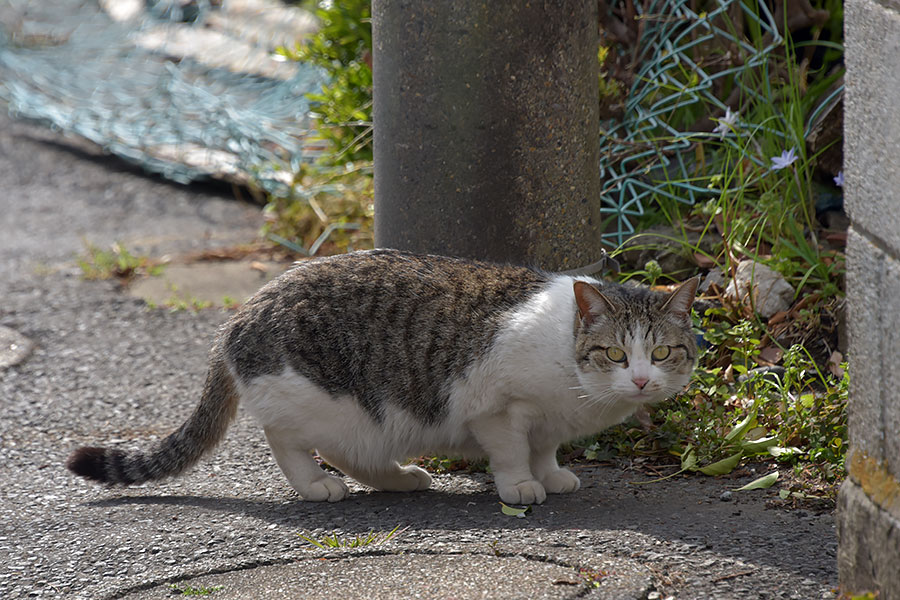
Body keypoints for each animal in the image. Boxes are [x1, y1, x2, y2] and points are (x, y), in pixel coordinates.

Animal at [68, 248, 704, 506]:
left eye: (662, 353)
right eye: (616, 354)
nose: (641, 382)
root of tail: (242, 313)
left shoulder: (548, 422)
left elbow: (545, 448)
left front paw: (552, 475)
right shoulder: (497, 409)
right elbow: (511, 452)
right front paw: (522, 485)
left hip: (366, 421)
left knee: (352, 452)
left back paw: (400, 478)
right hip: (321, 397)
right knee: (286, 438)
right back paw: (314, 484)